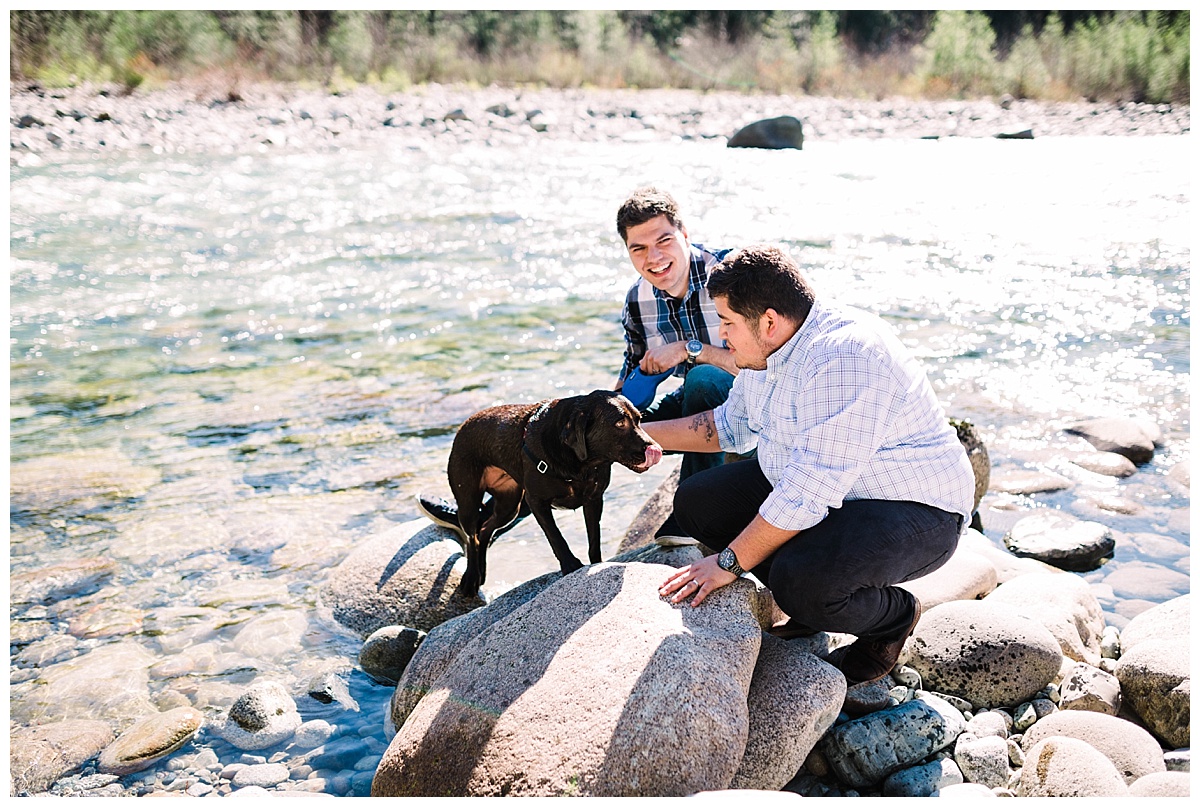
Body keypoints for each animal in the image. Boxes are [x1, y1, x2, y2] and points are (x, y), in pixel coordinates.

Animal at [446, 391, 662, 598]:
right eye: (619, 423)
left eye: (639, 420)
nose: (657, 449)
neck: (579, 465)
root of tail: (464, 424)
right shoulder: (536, 502)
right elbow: (555, 537)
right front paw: (570, 565)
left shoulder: (594, 500)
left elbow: (594, 540)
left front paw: (597, 564)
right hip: (469, 502)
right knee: (471, 536)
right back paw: (471, 577)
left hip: (509, 507)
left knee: (484, 530)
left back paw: (481, 571)